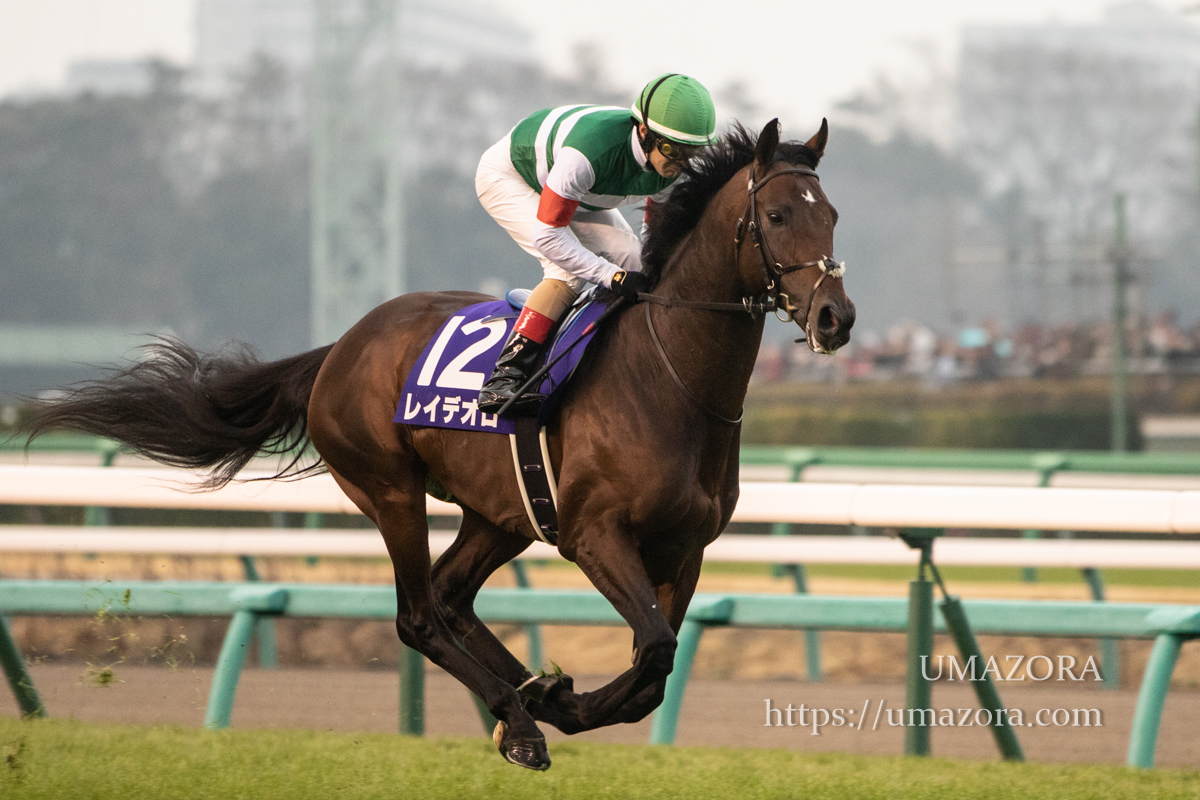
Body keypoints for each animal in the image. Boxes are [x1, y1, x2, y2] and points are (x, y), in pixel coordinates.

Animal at [25, 117, 854, 767]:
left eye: (833, 214)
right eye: (779, 215)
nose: (835, 318)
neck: (671, 380)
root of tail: (340, 347)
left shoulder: (684, 549)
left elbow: (655, 670)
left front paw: (562, 695)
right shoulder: (593, 534)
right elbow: (652, 651)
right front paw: (562, 705)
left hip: (501, 512)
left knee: (453, 597)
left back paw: (527, 697)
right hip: (391, 489)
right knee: (419, 614)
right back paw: (521, 720)